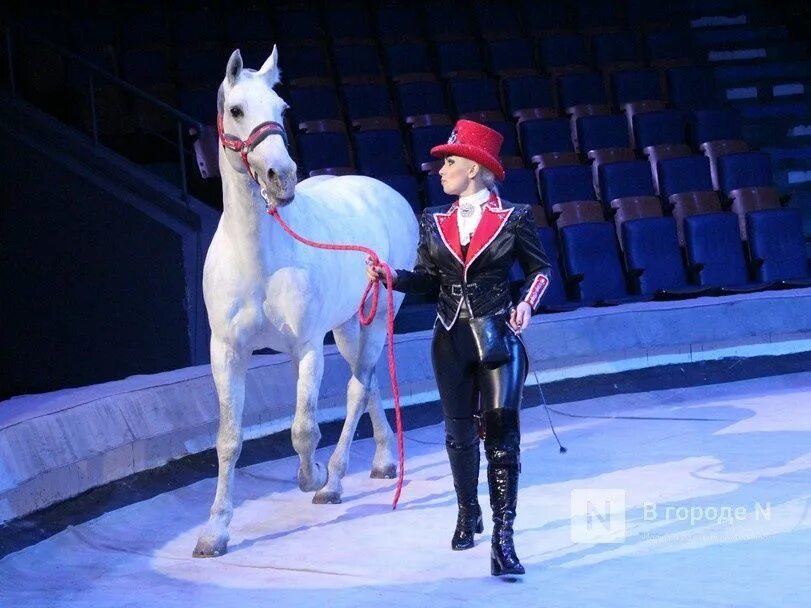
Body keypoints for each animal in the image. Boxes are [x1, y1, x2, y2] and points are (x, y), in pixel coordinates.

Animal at [195, 47, 418, 560]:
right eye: (237, 110)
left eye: (282, 111)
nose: (282, 178)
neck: (259, 256)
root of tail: (387, 192)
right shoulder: (226, 353)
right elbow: (228, 439)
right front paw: (215, 531)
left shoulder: (309, 347)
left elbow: (304, 429)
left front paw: (311, 475)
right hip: (349, 324)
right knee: (369, 382)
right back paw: (382, 461)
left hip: (378, 318)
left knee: (358, 387)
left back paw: (333, 480)